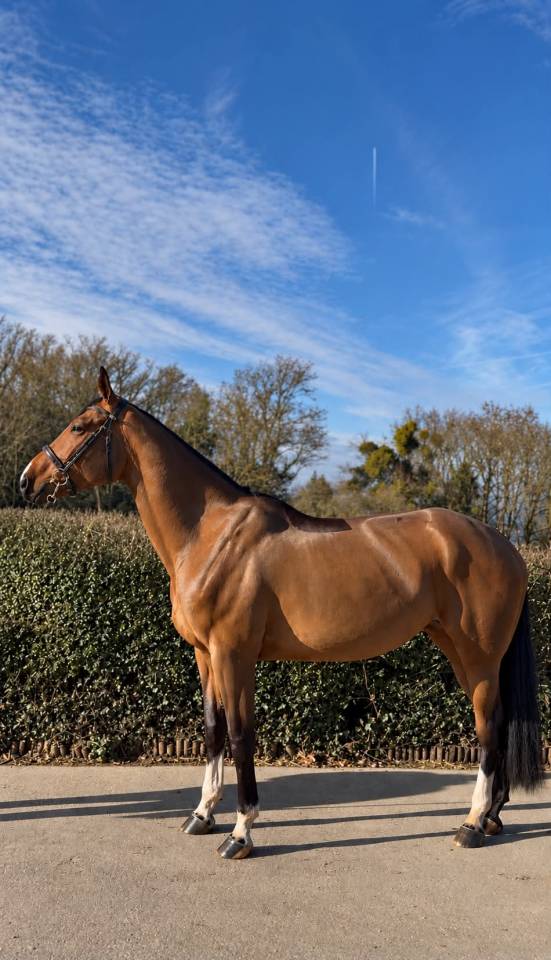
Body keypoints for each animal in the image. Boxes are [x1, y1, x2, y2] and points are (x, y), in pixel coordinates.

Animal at [20, 367, 542, 859]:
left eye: (78, 426)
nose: (28, 479)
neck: (211, 535)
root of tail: (505, 546)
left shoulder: (234, 655)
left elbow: (240, 735)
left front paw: (240, 832)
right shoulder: (205, 655)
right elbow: (212, 730)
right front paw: (202, 814)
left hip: (478, 657)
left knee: (487, 728)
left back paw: (472, 824)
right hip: (459, 650)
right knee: (496, 725)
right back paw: (492, 817)